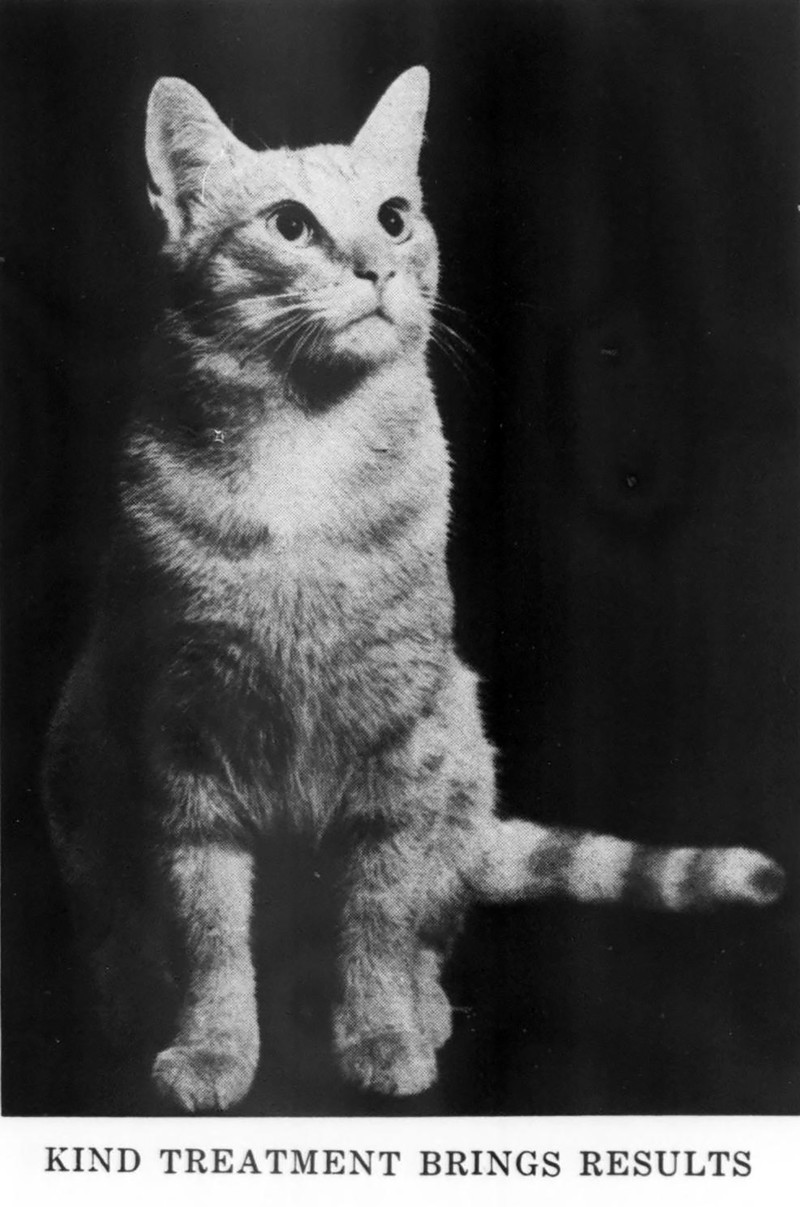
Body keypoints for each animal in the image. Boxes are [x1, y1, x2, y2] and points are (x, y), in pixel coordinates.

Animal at [43, 67, 785, 1113]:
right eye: (291, 225)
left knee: (433, 915)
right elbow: (210, 928)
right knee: (119, 932)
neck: (305, 453)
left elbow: (381, 915)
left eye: (394, 218)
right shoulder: (184, 737)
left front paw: (383, 1031)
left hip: (458, 747)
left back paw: (424, 1005)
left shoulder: (401, 737)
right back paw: (125, 1003)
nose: (374, 268)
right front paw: (212, 1047)